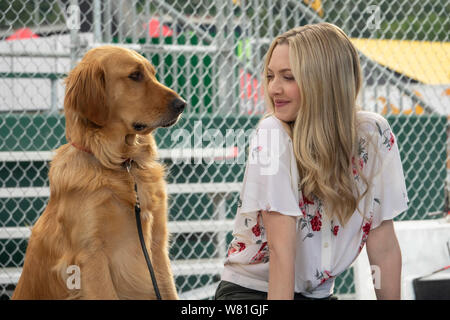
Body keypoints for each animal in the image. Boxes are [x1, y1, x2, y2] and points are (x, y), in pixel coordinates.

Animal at [11, 45, 185, 300]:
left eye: (153, 74)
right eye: (135, 75)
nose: (182, 104)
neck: (123, 165)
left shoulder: (157, 246)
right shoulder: (90, 255)